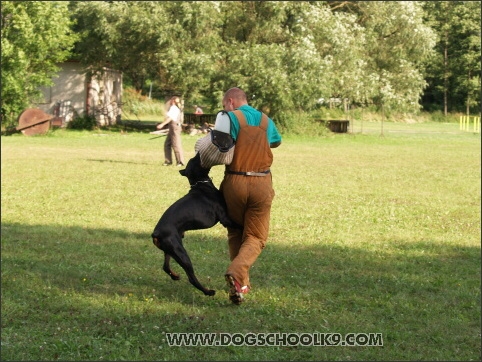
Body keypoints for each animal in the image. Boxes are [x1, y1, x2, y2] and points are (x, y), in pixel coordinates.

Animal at [152, 151, 238, 296]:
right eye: (195, 159)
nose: (198, 152)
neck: (200, 184)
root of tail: (156, 233)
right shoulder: (224, 218)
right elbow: (237, 223)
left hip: (171, 249)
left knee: (165, 266)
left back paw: (175, 276)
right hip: (180, 252)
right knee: (191, 278)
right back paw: (208, 292)